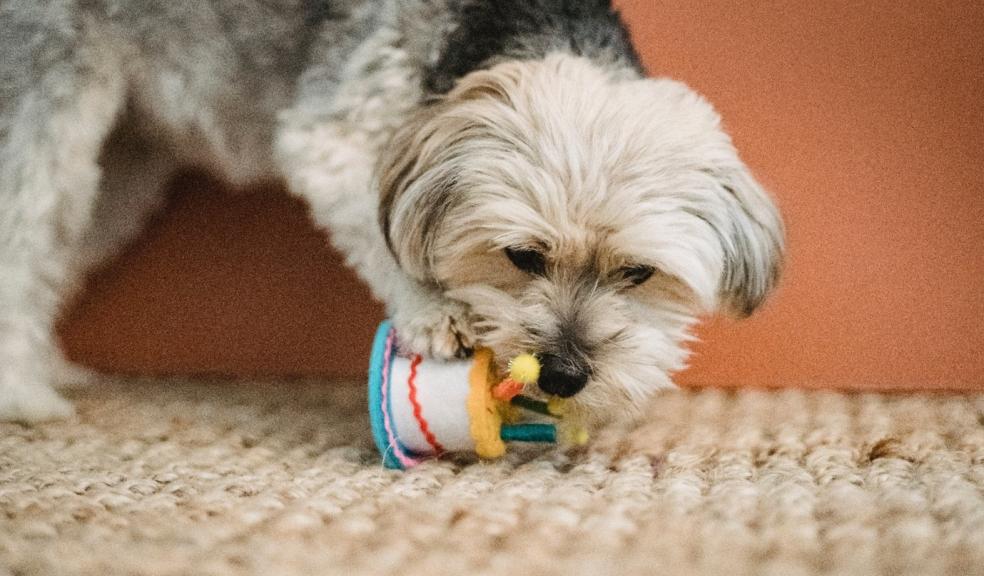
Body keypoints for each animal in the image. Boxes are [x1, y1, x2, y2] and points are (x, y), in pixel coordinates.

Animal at [0, 0, 784, 430]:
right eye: (522, 256)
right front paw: (436, 313)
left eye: (639, 273)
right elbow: (390, 241)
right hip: (46, 104)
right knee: (22, 237)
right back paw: (24, 396)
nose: (564, 374)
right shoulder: (336, 140)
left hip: (123, 171)